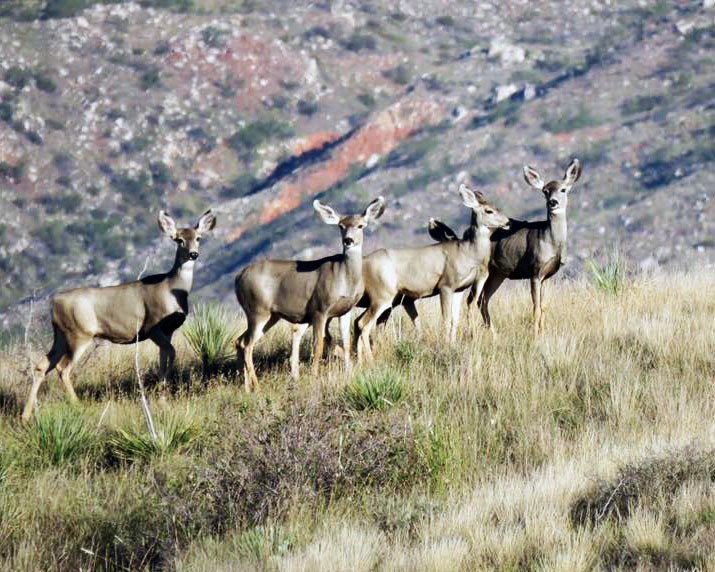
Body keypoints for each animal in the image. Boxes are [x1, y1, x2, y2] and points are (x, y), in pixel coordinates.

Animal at [23, 210, 217, 420]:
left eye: (198, 238)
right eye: (179, 240)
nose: (193, 254)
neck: (171, 288)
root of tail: (55, 301)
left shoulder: (168, 330)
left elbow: (163, 358)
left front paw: (163, 399)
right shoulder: (152, 327)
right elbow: (171, 353)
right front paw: (161, 398)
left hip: (60, 335)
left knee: (42, 365)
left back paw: (25, 415)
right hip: (79, 333)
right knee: (63, 368)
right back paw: (77, 405)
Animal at [234, 197, 386, 388]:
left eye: (360, 225)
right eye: (341, 226)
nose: (348, 240)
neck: (345, 279)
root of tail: (238, 278)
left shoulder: (345, 310)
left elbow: (346, 341)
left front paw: (348, 372)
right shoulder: (319, 308)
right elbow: (318, 345)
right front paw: (315, 377)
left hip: (270, 316)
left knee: (239, 341)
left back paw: (246, 387)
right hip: (257, 309)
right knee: (247, 344)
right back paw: (257, 387)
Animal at [356, 184, 512, 362]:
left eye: (497, 207)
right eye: (489, 211)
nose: (508, 222)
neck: (467, 253)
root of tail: (363, 264)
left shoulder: (459, 289)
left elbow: (455, 319)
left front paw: (453, 344)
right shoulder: (446, 285)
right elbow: (446, 319)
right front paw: (446, 345)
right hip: (381, 295)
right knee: (363, 324)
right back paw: (369, 360)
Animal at [428, 158, 580, 336]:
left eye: (563, 189)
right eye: (545, 191)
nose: (553, 202)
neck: (550, 240)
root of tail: (466, 233)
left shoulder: (548, 275)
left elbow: (544, 307)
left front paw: (543, 334)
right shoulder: (535, 270)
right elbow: (536, 308)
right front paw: (535, 336)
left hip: (497, 273)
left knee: (482, 300)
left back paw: (494, 334)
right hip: (483, 272)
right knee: (472, 300)